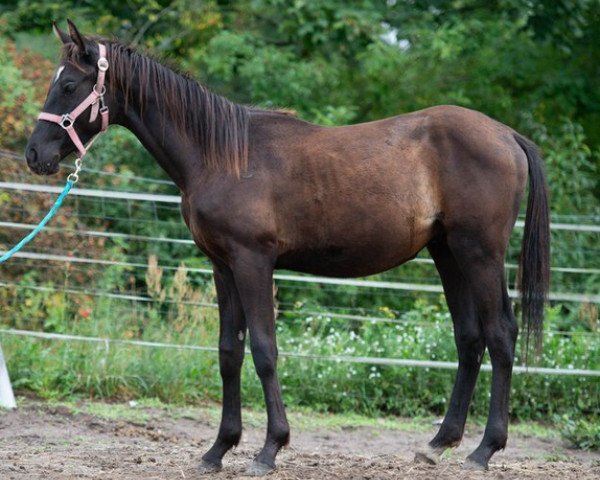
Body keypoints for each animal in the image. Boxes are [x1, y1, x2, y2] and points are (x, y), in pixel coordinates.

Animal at [23, 19, 548, 476]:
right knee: (469, 339)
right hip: (448, 254)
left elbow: (263, 349)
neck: (222, 155)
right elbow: (228, 353)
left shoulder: (253, 262)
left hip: (479, 254)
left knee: (500, 334)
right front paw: (218, 450)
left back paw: (484, 450)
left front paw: (269, 450)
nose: (34, 154)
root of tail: (507, 135)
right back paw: (438, 444)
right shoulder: (222, 267)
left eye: (69, 85)